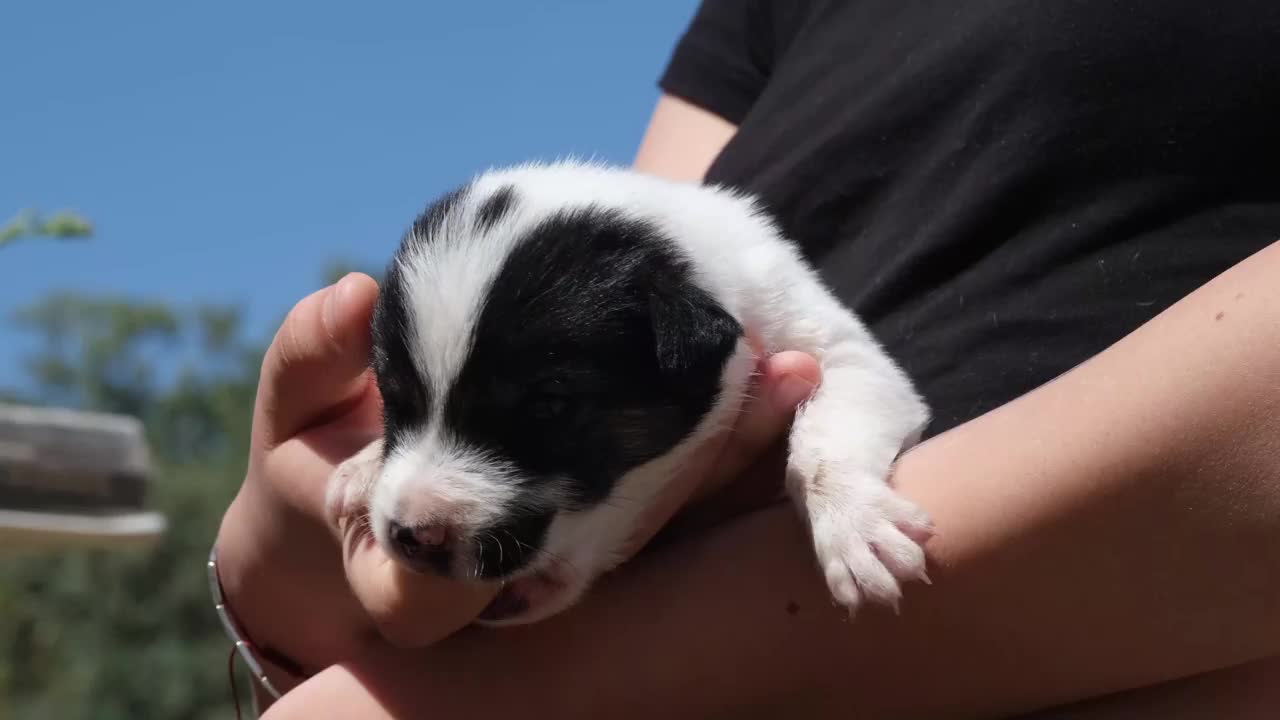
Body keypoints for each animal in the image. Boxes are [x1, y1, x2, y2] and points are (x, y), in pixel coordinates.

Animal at [327, 159, 931, 625]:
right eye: (394, 399)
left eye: (549, 406)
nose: (411, 534)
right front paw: (362, 466)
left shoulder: (840, 351)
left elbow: (827, 436)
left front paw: (854, 527)